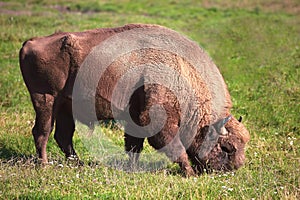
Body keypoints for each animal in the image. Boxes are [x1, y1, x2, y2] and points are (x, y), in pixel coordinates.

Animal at [18, 23, 248, 177]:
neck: (183, 72)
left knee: (63, 136)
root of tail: (31, 42)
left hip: (65, 105)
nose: (233, 169)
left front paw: (133, 168)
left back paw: (78, 164)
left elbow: (134, 146)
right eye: (227, 147)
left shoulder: (134, 117)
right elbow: (174, 147)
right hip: (46, 99)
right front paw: (189, 173)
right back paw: (44, 165)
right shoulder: (157, 120)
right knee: (42, 132)